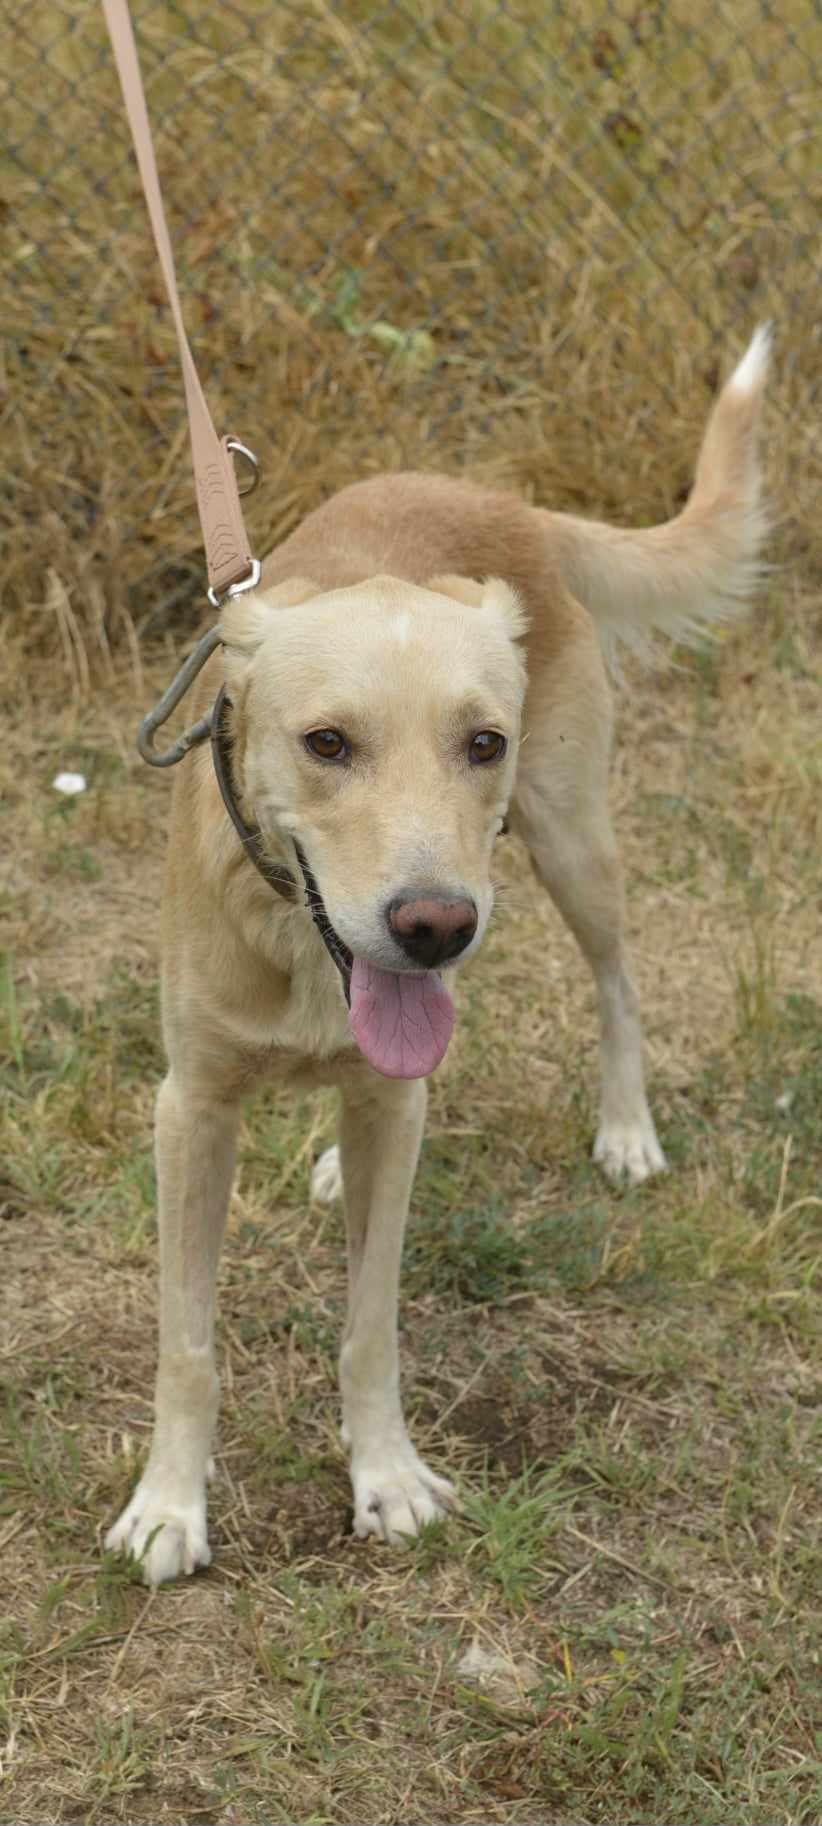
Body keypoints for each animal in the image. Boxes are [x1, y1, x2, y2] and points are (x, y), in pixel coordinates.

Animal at [106, 328, 769, 1584]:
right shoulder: (190, 1108)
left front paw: (387, 1477)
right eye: (325, 742)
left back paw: (626, 1129)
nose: (435, 924)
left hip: (569, 842)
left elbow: (369, 1322)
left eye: (480, 741)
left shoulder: (395, 1093)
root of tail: (504, 504)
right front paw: (170, 1505)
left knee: (617, 982)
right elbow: (184, 1342)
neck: (298, 941)